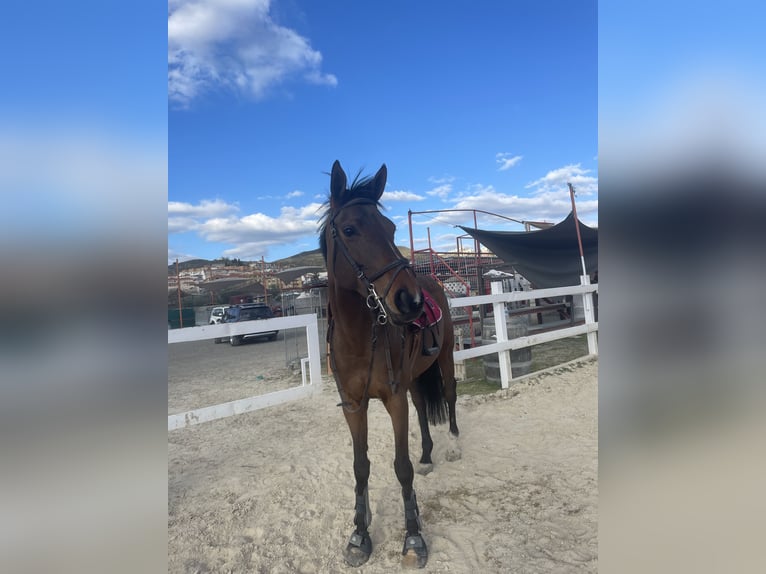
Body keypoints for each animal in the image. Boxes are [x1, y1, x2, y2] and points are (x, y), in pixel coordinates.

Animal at [319, 160, 460, 568]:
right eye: (350, 229)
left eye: (392, 229)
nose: (410, 301)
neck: (358, 338)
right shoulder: (353, 406)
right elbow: (361, 466)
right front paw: (359, 534)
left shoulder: (393, 399)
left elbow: (401, 467)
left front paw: (413, 538)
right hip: (414, 377)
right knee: (423, 407)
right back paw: (428, 454)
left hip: (445, 358)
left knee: (449, 395)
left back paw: (452, 446)